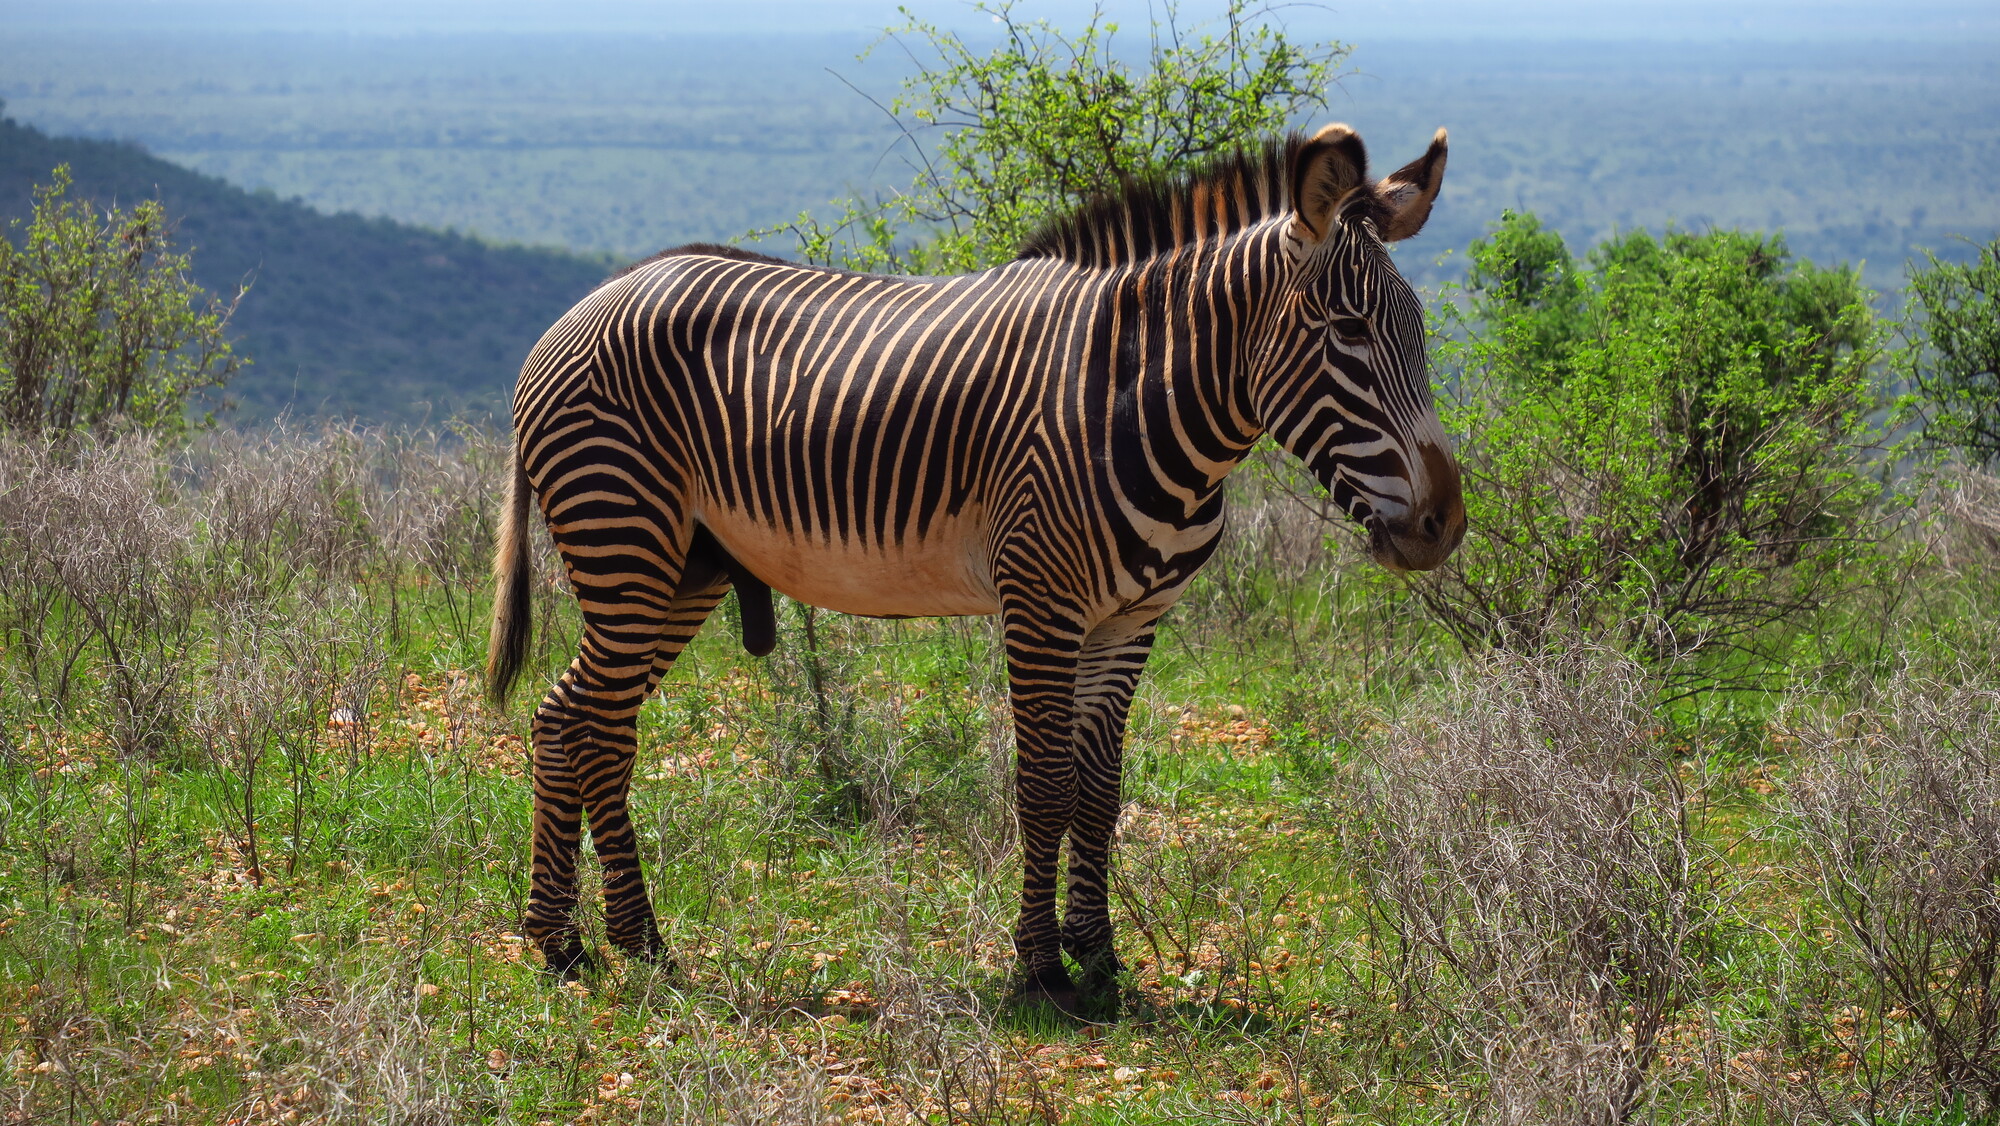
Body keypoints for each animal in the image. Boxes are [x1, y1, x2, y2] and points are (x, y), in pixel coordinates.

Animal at [487, 123, 1464, 1011]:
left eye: (1418, 332)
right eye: (1347, 331)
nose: (1444, 526)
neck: (1134, 396)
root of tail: (580, 309)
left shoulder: (1131, 619)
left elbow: (1100, 791)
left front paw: (1099, 956)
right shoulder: (1040, 602)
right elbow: (1045, 785)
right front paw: (1039, 967)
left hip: (681, 570)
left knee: (568, 720)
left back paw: (565, 940)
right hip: (626, 542)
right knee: (596, 729)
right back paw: (638, 942)